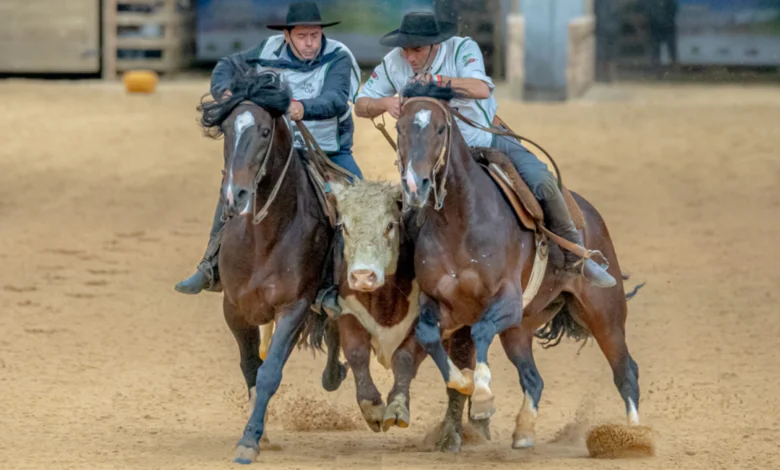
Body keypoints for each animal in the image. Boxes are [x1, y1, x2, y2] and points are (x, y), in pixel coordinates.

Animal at [198, 69, 338, 462]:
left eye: (264, 131)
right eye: (227, 128)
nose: (236, 195)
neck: (264, 236)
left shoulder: (294, 308)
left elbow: (270, 372)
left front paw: (250, 440)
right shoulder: (234, 307)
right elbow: (251, 366)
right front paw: (257, 431)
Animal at [396, 83, 640, 452]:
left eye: (439, 129)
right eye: (399, 128)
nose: (415, 185)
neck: (460, 223)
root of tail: (589, 214)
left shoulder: (505, 299)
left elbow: (481, 331)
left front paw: (482, 398)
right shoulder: (443, 303)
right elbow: (427, 335)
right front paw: (464, 382)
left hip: (605, 314)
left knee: (626, 371)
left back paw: (637, 435)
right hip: (520, 329)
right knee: (533, 379)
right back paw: (524, 431)